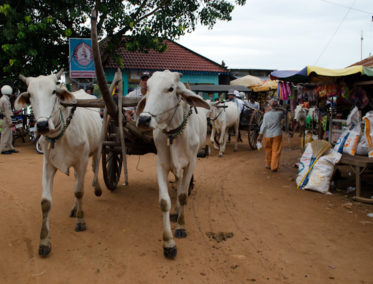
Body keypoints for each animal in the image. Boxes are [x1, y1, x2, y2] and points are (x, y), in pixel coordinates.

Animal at [16, 70, 101, 258]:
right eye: (30, 94)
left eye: (54, 91)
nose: (41, 125)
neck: (60, 134)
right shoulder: (48, 165)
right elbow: (46, 202)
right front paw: (44, 242)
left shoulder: (82, 161)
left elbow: (79, 191)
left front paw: (81, 221)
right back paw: (74, 208)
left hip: (98, 148)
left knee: (95, 169)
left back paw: (97, 189)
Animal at [136, 70, 209, 258]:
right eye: (148, 87)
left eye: (170, 89)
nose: (144, 119)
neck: (174, 134)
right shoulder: (161, 164)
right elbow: (164, 201)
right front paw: (168, 243)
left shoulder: (191, 163)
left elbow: (183, 196)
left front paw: (181, 227)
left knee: (182, 186)